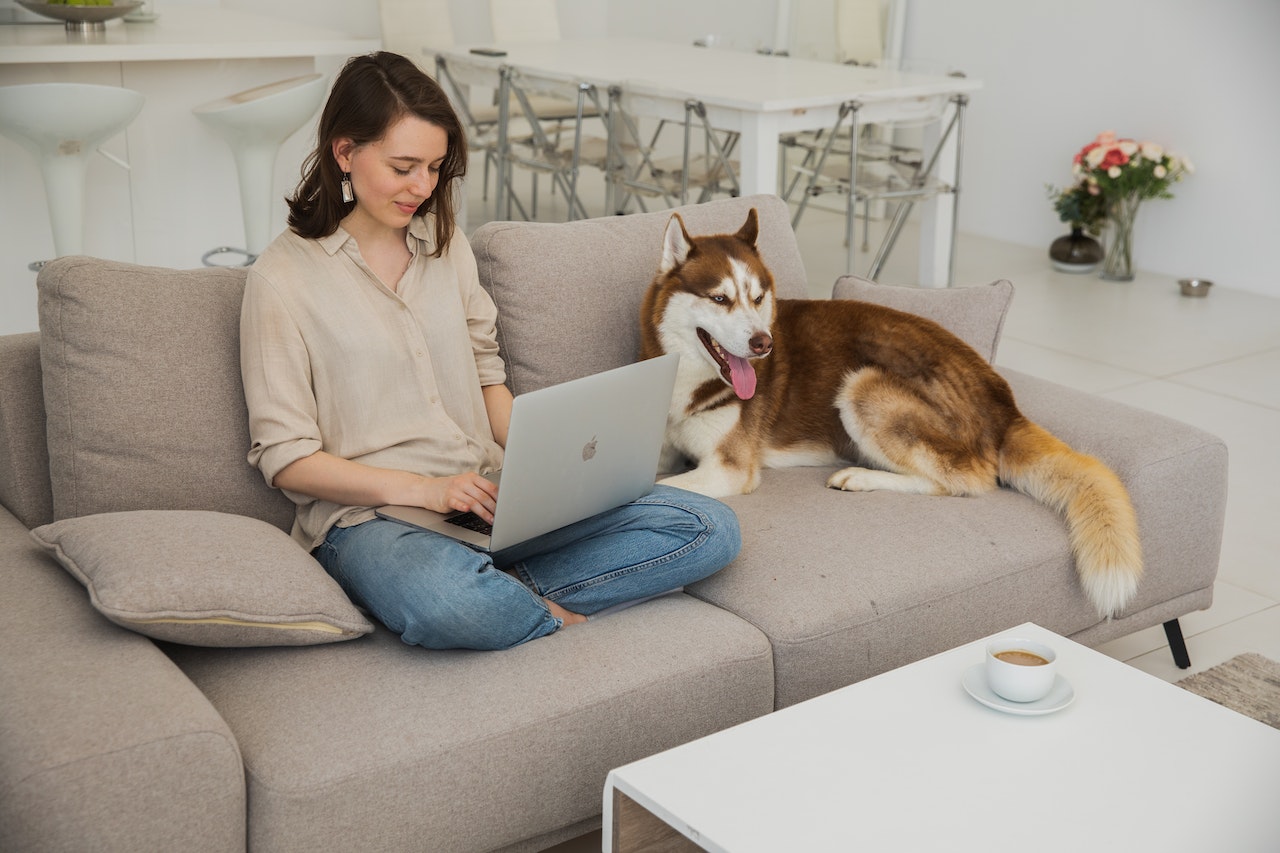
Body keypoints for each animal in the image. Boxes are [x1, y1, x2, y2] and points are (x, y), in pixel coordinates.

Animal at [640, 208, 1141, 614]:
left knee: (965, 480)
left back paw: (861, 477)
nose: (763, 343)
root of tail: (1003, 399)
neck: (690, 380)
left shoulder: (728, 469)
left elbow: (662, 490)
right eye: (720, 298)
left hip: (863, 385)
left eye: (758, 297)